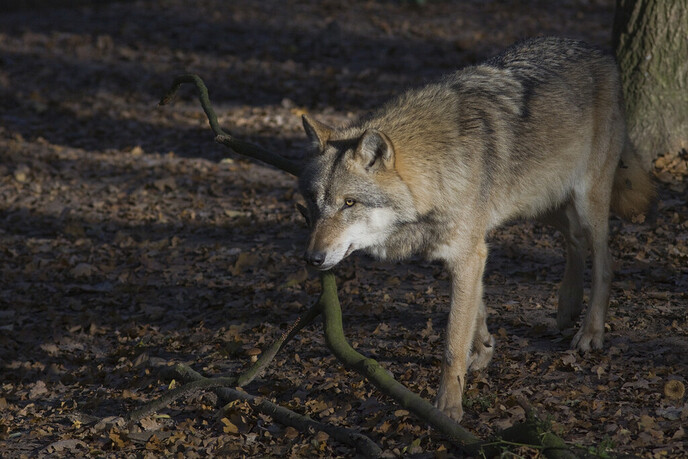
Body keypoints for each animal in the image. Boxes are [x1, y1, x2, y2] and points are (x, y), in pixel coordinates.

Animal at [297, 37, 653, 422]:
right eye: (313, 202)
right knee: (573, 239)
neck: (437, 167)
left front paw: (447, 407)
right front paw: (482, 347)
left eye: (349, 203)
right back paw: (566, 306)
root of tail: (598, 50)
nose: (312, 258)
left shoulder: (469, 252)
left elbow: (453, 341)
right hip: (539, 201)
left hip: (586, 199)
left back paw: (590, 332)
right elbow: (477, 308)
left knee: (605, 260)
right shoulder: (469, 252)